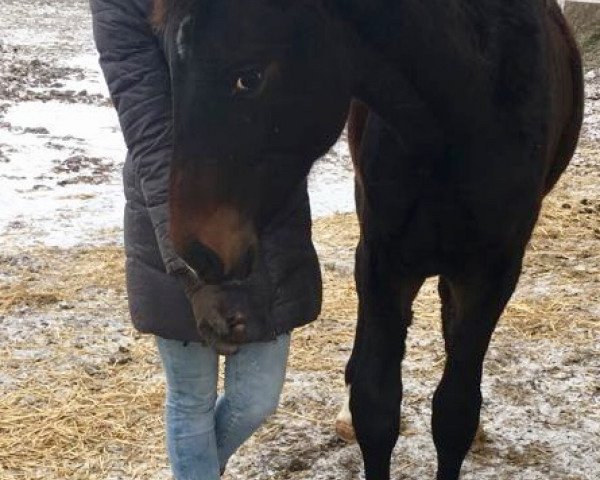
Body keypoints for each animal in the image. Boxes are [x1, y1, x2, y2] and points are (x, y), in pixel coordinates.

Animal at [152, 1, 584, 478]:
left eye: (249, 77)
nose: (196, 252)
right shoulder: (385, 262)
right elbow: (376, 408)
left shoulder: (491, 274)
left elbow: (455, 412)